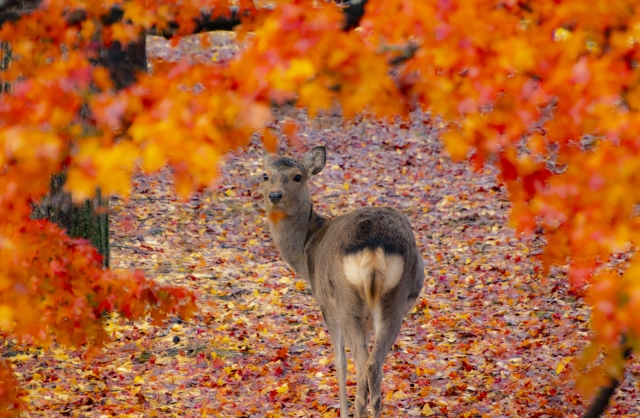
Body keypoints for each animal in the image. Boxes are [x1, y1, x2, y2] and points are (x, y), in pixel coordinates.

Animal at [261, 146, 424, 418]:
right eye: (265, 175)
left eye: (297, 176)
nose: (275, 195)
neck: (306, 251)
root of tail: (374, 250)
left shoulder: (326, 304)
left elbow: (339, 362)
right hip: (395, 300)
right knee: (374, 366)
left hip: (347, 300)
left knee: (361, 365)